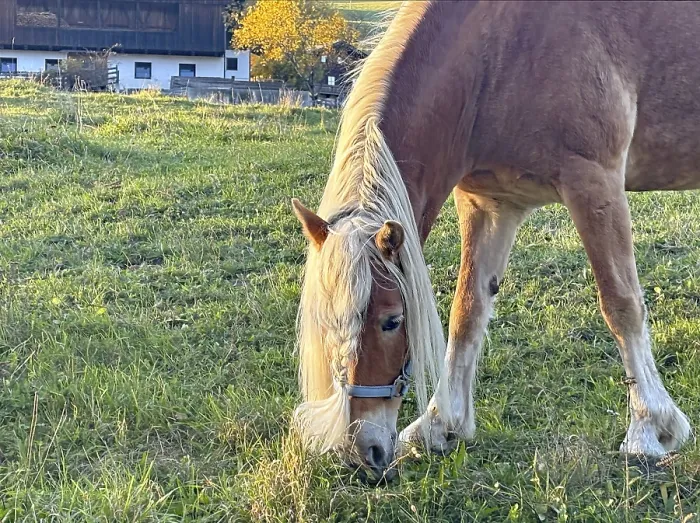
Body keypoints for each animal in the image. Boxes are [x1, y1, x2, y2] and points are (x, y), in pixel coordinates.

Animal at [291, 1, 698, 480]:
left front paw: (650, 429)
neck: (501, 46)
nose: (362, 451)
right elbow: (467, 312)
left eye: (391, 320)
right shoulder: (490, 203)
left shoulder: (594, 184)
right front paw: (440, 426)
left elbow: (621, 306)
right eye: (324, 322)